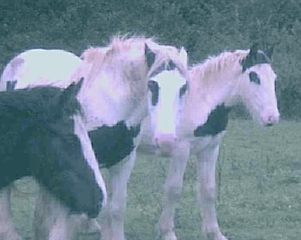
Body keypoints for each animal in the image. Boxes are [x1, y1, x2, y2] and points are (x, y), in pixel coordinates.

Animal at [138, 43, 278, 240]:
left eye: (274, 77)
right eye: (254, 76)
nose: (271, 118)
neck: (200, 101)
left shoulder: (209, 149)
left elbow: (208, 190)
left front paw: (214, 233)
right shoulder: (180, 150)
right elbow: (173, 190)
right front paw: (167, 232)